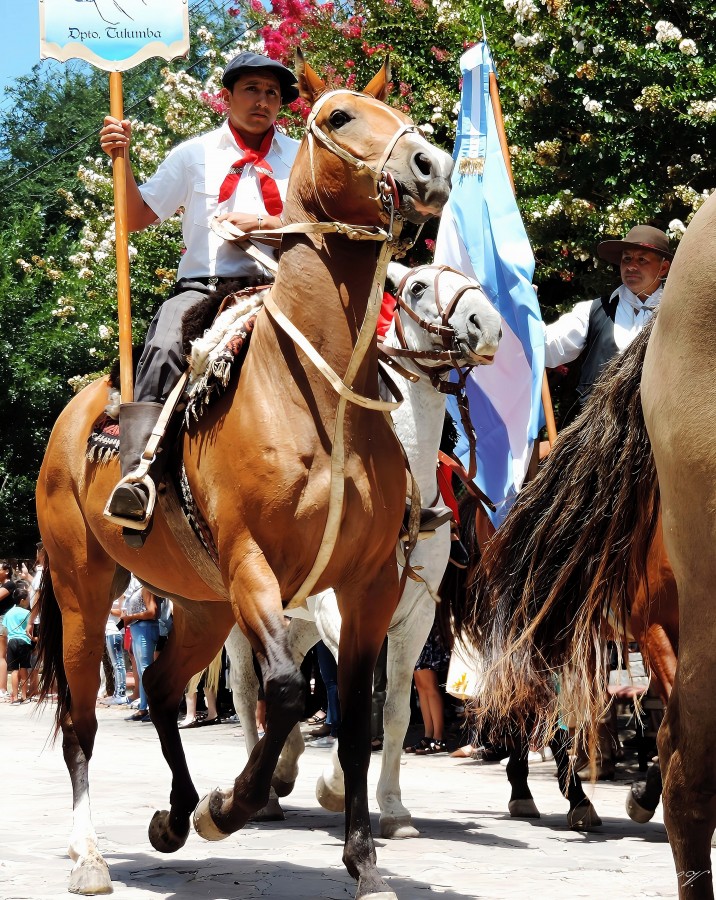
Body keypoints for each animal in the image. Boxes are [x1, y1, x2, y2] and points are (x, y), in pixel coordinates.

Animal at [33, 52, 454, 896]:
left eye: (401, 119)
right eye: (339, 118)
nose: (432, 166)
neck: (319, 393)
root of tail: (78, 411)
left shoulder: (368, 586)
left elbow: (350, 718)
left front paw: (363, 857)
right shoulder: (253, 564)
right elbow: (290, 690)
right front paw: (231, 807)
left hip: (200, 605)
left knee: (163, 688)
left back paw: (171, 816)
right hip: (83, 592)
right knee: (81, 723)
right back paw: (94, 852)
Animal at [224, 264, 498, 840]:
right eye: (415, 287)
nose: (486, 326)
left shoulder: (415, 621)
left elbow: (392, 710)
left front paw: (393, 809)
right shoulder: (341, 612)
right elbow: (354, 702)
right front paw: (332, 787)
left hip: (298, 619)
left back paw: (284, 766)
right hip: (234, 613)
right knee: (244, 688)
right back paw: (262, 794)